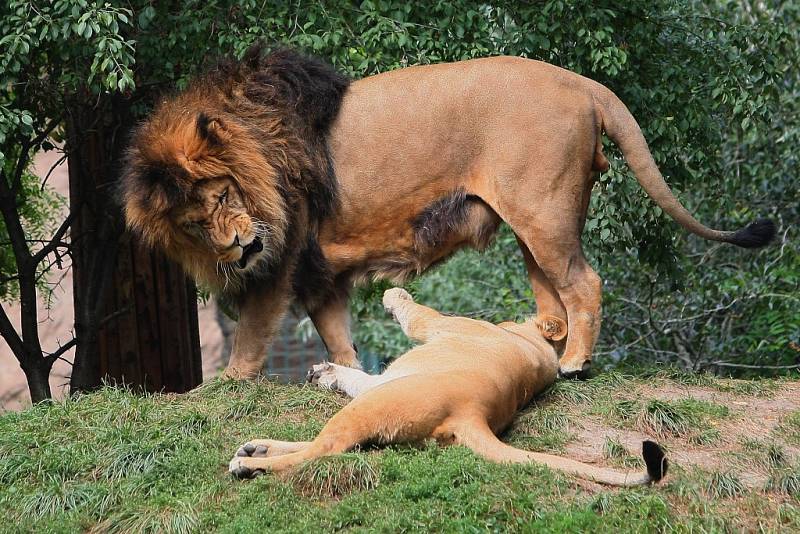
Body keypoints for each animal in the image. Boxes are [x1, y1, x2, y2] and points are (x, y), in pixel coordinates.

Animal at [122, 47, 780, 382]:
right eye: (193, 223)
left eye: (221, 197)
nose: (235, 247)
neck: (259, 145)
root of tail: (582, 82)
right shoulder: (319, 268)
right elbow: (335, 332)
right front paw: (341, 372)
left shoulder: (284, 255)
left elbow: (255, 330)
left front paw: (228, 385)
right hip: (533, 216)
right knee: (553, 290)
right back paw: (546, 339)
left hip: (542, 210)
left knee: (584, 283)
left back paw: (573, 363)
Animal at [227, 288, 668, 490]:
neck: (535, 347)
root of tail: (473, 414)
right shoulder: (381, 378)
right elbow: (356, 376)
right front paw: (324, 373)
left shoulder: (438, 325)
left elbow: (417, 313)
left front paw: (392, 295)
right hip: (382, 404)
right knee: (328, 444)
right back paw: (255, 449)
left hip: (377, 403)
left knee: (325, 450)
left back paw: (250, 465)